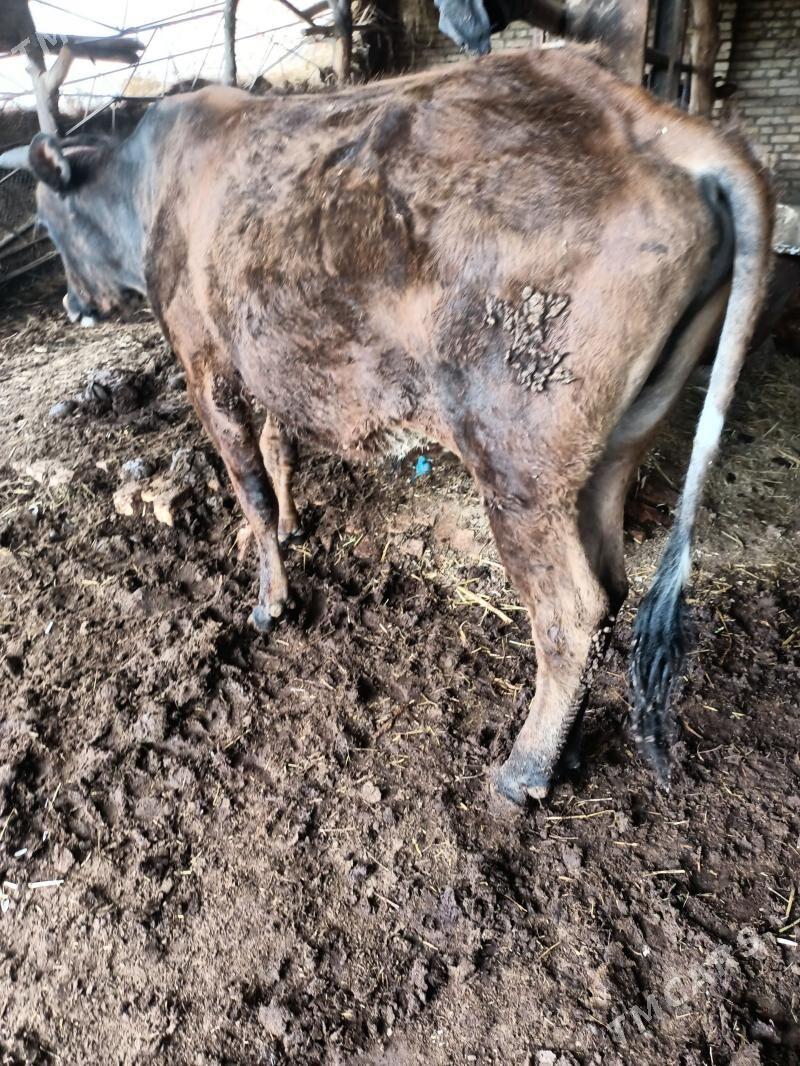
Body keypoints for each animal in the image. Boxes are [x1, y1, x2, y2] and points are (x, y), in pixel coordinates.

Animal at [0, 47, 771, 805]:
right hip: (612, 449)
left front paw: (270, 601)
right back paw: (567, 748)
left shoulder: (204, 357)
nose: (71, 305)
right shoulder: (272, 353)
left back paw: (524, 772)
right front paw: (292, 525)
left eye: (51, 221)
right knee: (611, 588)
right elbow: (279, 447)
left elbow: (249, 488)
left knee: (572, 609)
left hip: (516, 459)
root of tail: (646, 119)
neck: (150, 185)